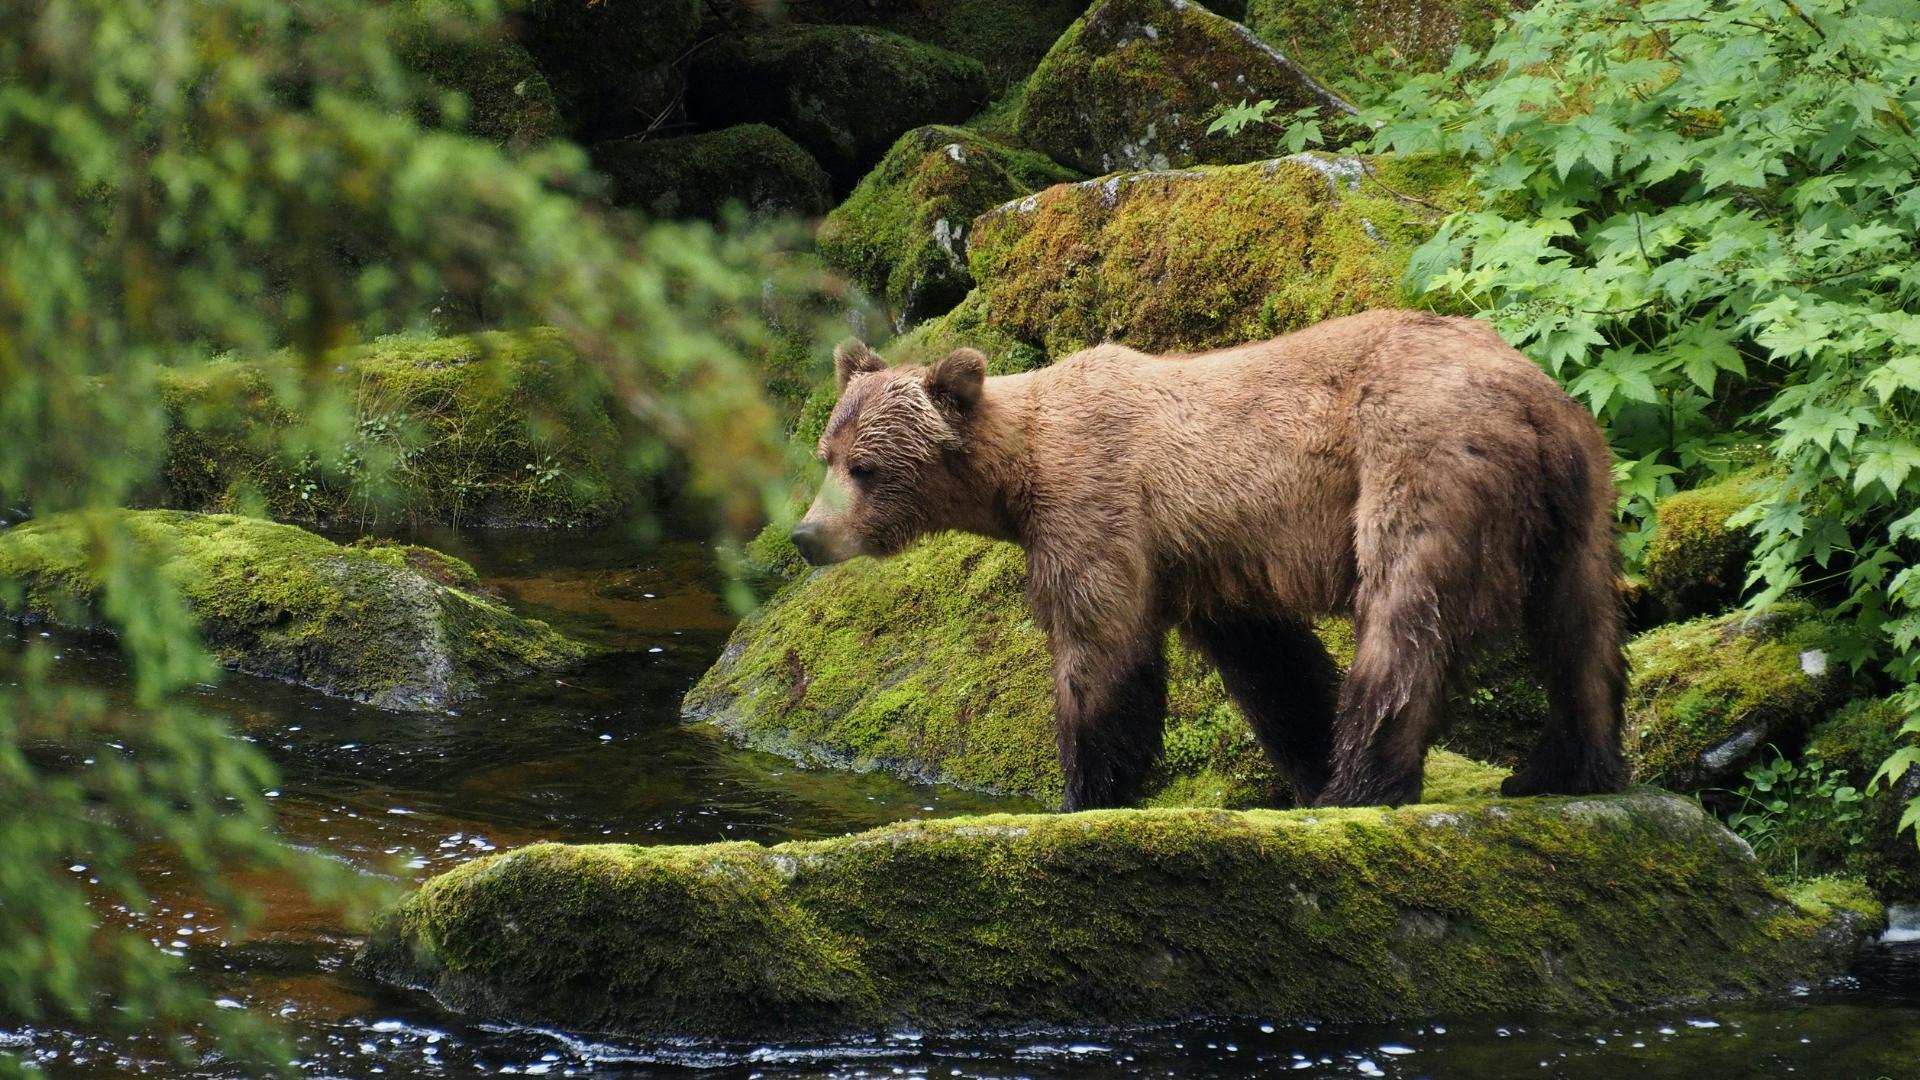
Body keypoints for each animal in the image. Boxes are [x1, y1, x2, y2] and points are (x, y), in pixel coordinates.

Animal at [789, 309, 1627, 810]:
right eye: (826, 454)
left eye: (866, 468)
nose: (806, 535)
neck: (1018, 470)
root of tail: (1530, 397)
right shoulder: (1210, 558)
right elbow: (1272, 664)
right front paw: (1305, 755)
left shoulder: (1097, 506)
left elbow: (1099, 646)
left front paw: (1087, 788)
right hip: (1580, 494)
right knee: (1582, 631)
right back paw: (1565, 767)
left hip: (1419, 459)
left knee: (1404, 616)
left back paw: (1361, 783)